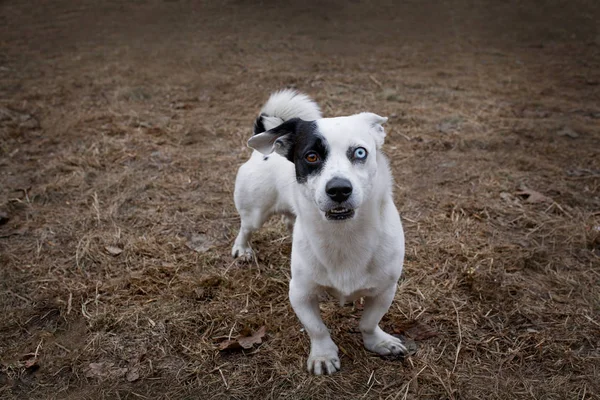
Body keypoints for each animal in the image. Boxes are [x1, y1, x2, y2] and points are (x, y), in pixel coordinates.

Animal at [232, 90, 406, 376]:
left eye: (360, 152)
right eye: (311, 157)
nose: (339, 189)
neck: (344, 233)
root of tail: (263, 152)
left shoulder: (384, 290)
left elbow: (369, 322)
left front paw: (378, 342)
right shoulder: (299, 293)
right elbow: (317, 328)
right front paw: (323, 355)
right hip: (254, 213)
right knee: (246, 228)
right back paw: (242, 249)